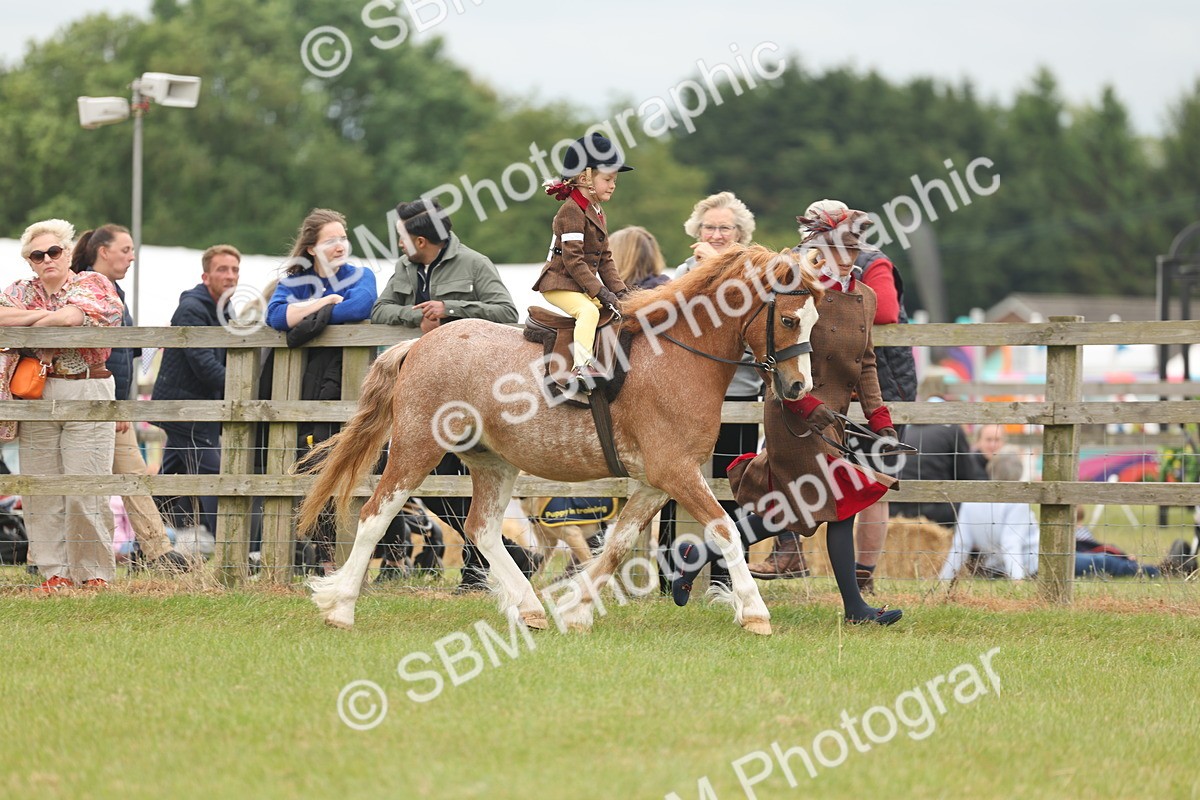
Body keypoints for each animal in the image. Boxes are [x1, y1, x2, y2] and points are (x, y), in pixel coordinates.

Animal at [298, 245, 823, 635]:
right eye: (790, 320)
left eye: (815, 321)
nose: (799, 388)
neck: (677, 356)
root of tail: (419, 344)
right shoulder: (676, 472)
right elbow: (724, 529)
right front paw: (754, 613)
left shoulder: (656, 481)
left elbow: (617, 544)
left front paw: (575, 609)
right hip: (416, 449)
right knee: (375, 516)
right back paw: (340, 607)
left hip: (492, 462)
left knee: (482, 528)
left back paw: (529, 608)